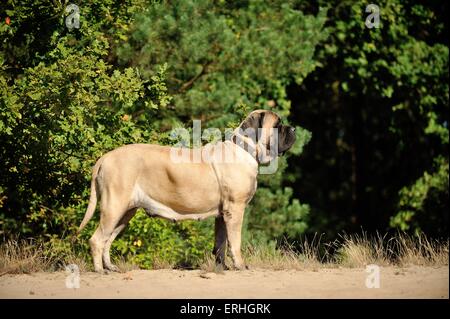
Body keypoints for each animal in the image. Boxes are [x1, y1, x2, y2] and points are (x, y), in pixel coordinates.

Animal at [78, 110, 296, 272]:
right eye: (278, 125)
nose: (293, 128)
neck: (245, 149)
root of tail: (105, 158)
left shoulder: (222, 215)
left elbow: (220, 244)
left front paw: (221, 268)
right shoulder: (235, 210)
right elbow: (235, 242)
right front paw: (240, 265)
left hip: (124, 213)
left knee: (108, 240)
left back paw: (110, 267)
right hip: (114, 207)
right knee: (97, 239)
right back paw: (99, 270)